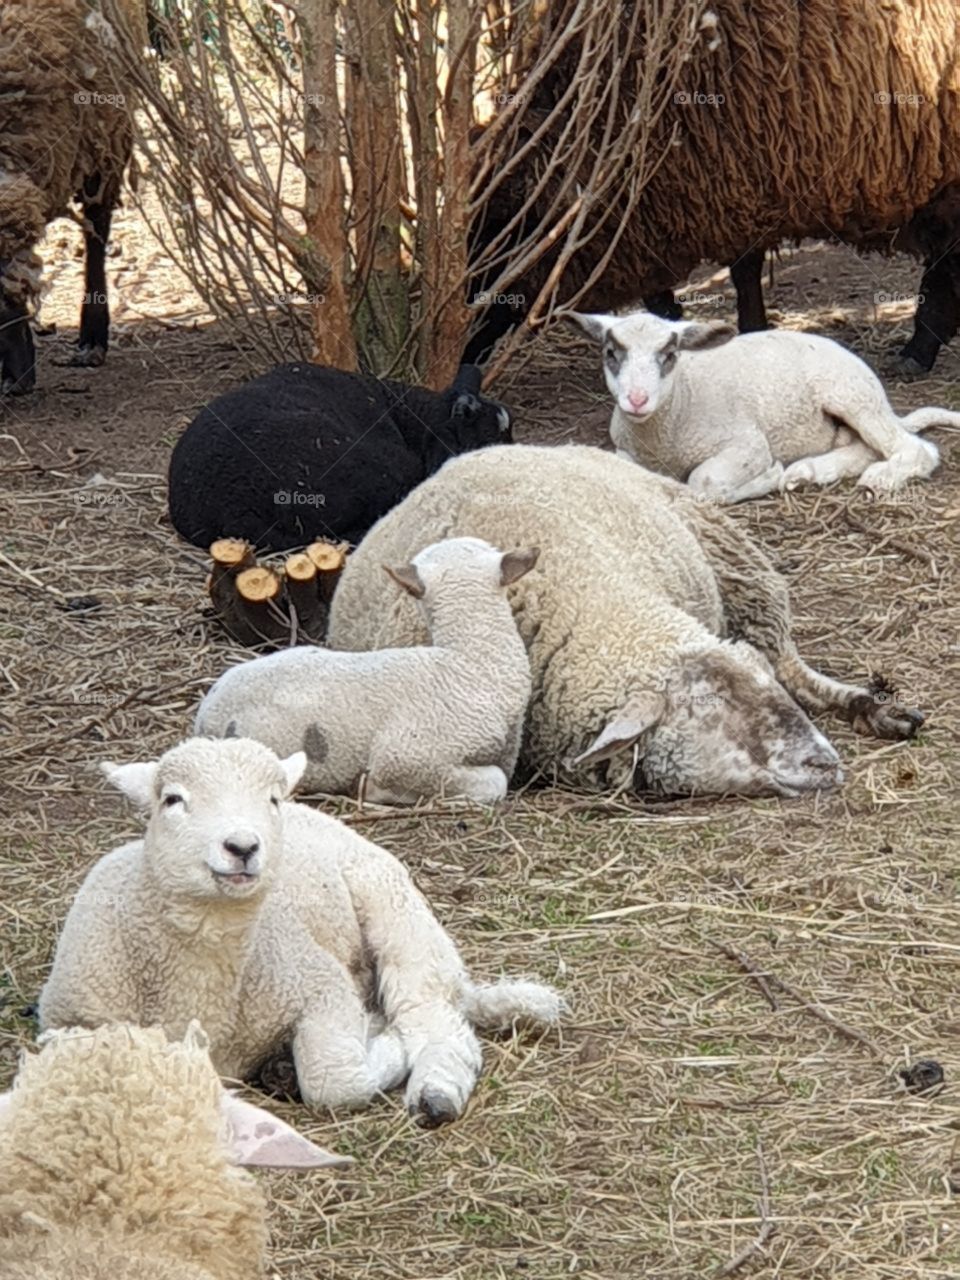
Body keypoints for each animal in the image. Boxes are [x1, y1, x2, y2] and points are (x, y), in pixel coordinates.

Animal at [38, 737, 562, 1128]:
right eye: (172, 799)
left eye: (271, 799)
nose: (242, 846)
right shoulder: (69, 1022)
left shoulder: (319, 984)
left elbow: (333, 1080)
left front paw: (384, 1043)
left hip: (400, 916)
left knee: (437, 1022)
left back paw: (435, 1090)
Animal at [466, 1, 960, 373]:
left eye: (494, 234)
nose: (464, 352)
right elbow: (724, 273)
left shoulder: (734, 187)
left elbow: (741, 272)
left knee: (941, 271)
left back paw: (916, 352)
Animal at [566, 310, 955, 502]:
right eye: (611, 353)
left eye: (670, 355)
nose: (637, 400)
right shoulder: (623, 449)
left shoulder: (749, 444)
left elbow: (705, 482)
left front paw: (767, 477)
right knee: (863, 448)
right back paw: (806, 472)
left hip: (852, 393)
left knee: (917, 449)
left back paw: (881, 478)